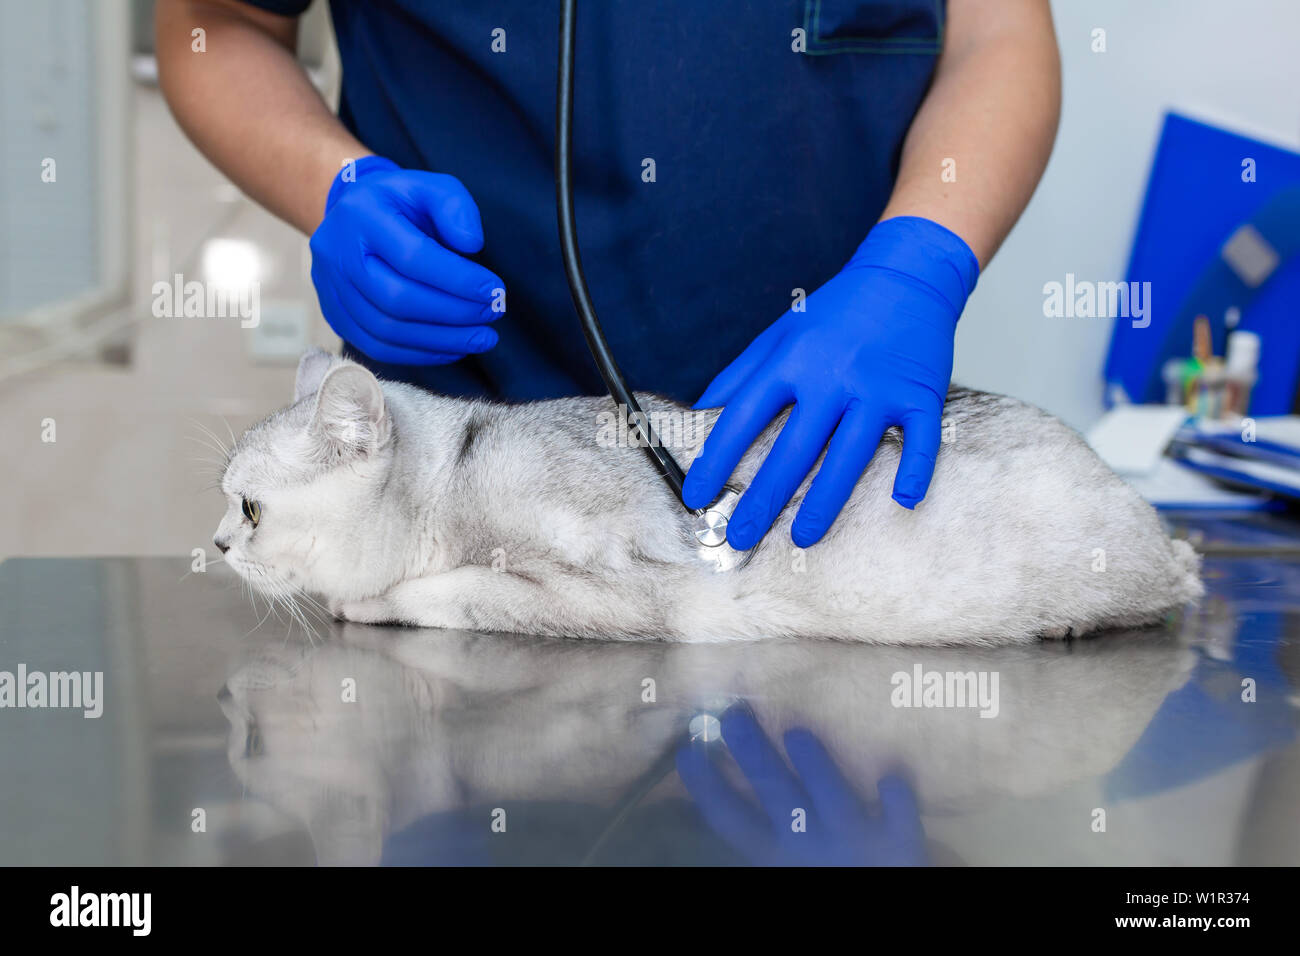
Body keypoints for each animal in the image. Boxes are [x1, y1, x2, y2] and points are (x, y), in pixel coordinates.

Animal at [210, 348, 1196, 647]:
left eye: (249, 509)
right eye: (224, 503)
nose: (214, 545)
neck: (457, 470)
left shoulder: (626, 592)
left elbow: (448, 591)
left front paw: (372, 599)